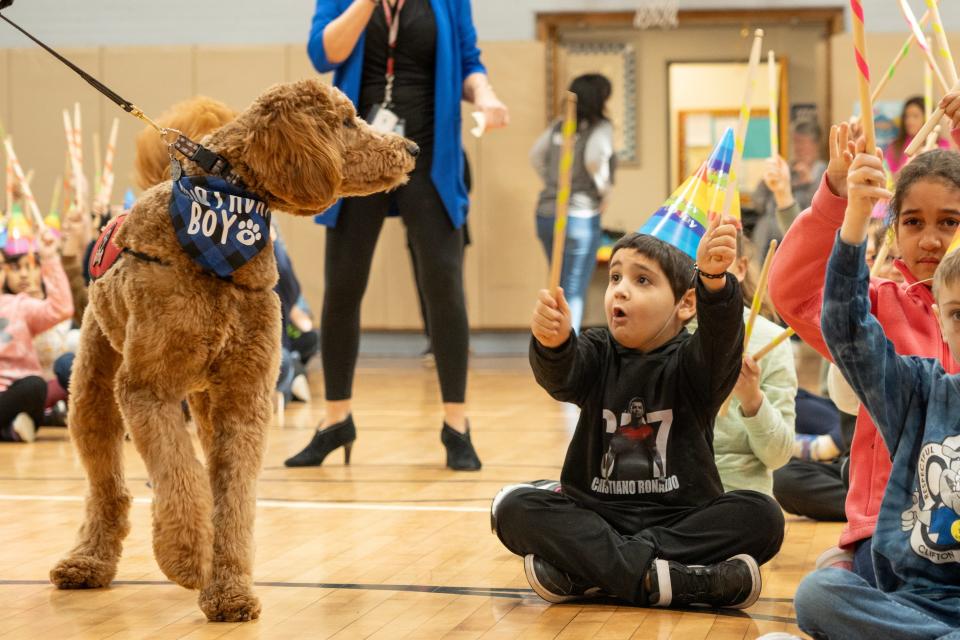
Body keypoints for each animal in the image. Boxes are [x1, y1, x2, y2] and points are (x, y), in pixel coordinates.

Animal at [48, 77, 416, 624]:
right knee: (107, 485)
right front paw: (186, 555)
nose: (411, 148)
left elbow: (233, 499)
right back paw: (88, 561)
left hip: (202, 400)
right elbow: (179, 477)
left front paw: (229, 590)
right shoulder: (147, 390)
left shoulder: (244, 400)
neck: (220, 222)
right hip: (93, 388)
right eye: (348, 121)